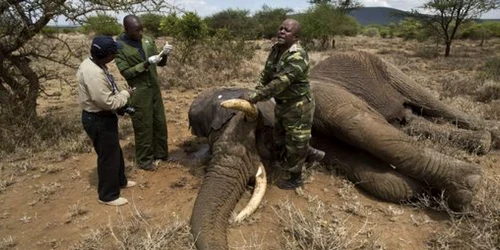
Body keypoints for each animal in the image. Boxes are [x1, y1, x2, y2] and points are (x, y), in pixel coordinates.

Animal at [188, 50, 496, 250]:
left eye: (256, 131)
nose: (235, 220)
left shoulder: (324, 100)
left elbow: (367, 131)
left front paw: (466, 189)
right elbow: (376, 177)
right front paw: (419, 190)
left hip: (385, 66)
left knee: (430, 102)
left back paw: (489, 137)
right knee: (411, 120)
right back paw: (481, 141)